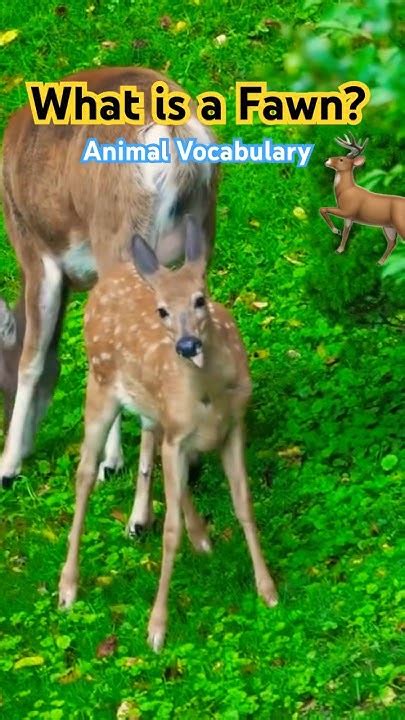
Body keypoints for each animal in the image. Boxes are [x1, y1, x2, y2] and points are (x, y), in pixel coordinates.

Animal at [58, 216, 278, 651]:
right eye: (161, 310)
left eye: (200, 299)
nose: (187, 345)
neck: (207, 398)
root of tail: (107, 280)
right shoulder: (178, 435)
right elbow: (170, 531)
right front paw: (156, 628)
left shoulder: (232, 428)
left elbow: (244, 505)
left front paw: (268, 590)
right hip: (100, 385)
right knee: (85, 473)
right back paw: (67, 587)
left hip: (154, 413)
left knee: (158, 464)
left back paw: (201, 538)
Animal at [320, 132, 405, 264]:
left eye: (341, 159)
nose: (326, 160)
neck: (346, 191)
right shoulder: (350, 217)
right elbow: (346, 233)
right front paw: (339, 249)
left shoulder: (347, 210)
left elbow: (323, 209)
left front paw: (336, 231)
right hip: (389, 226)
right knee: (392, 242)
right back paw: (380, 262)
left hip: (400, 222)